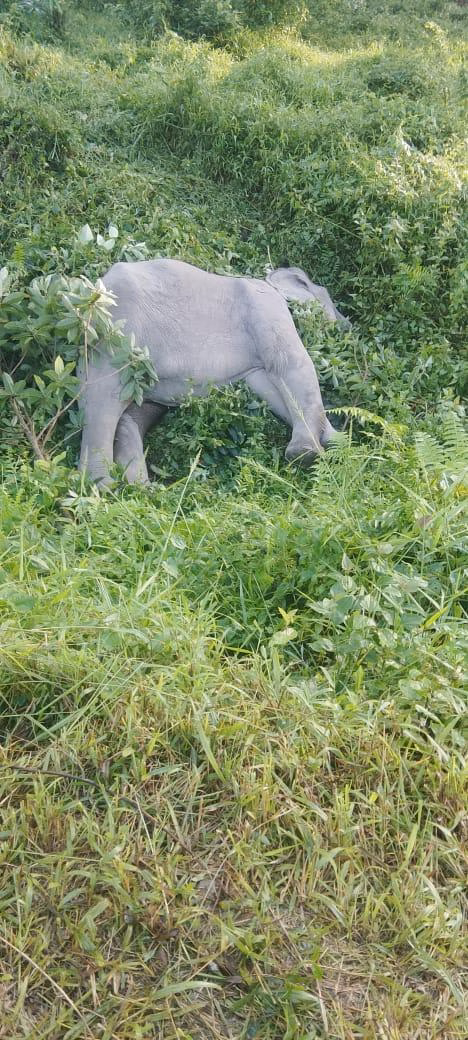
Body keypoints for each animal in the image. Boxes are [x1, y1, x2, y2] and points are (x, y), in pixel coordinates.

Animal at [79, 258, 349, 484]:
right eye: (331, 301)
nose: (348, 325)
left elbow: (272, 390)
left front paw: (338, 444)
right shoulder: (267, 307)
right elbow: (292, 364)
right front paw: (307, 455)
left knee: (125, 411)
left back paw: (140, 488)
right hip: (118, 336)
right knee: (104, 399)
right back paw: (102, 488)